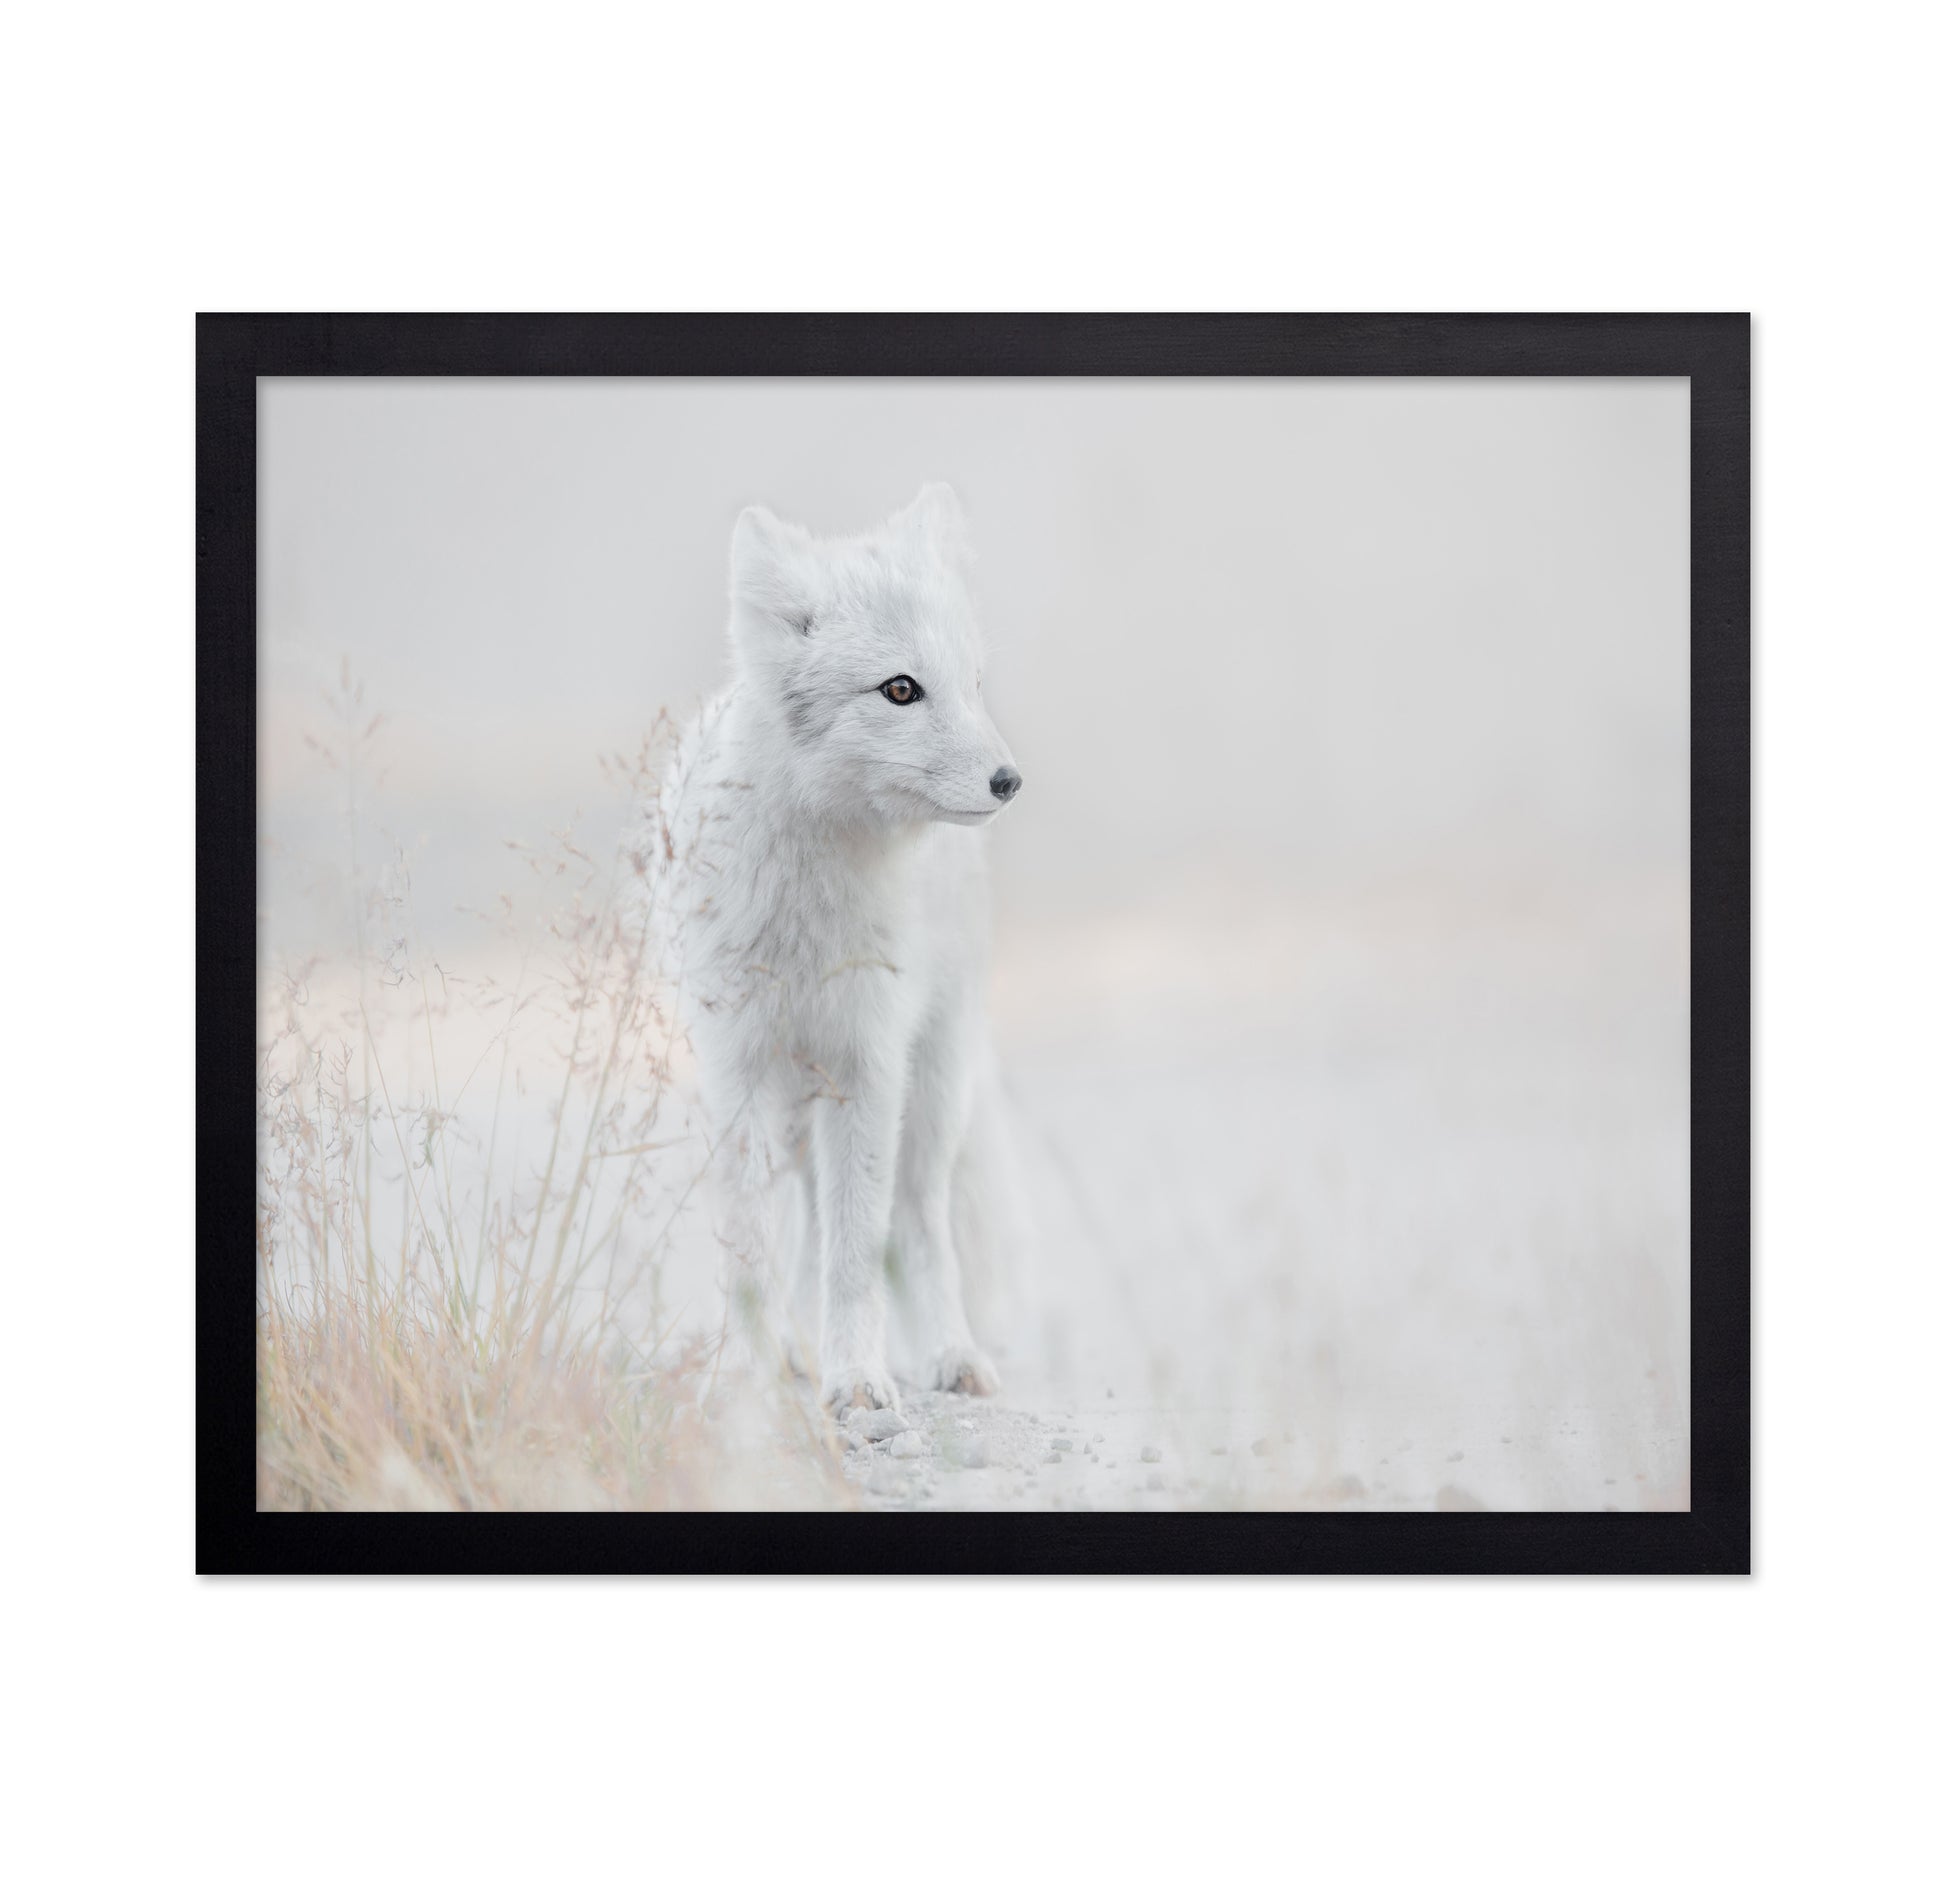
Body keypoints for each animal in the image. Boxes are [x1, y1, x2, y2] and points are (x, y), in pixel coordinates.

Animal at [647, 484, 1024, 1415]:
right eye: (901, 688)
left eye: (972, 683)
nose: (1009, 780)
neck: (806, 917)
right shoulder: (739, 1069)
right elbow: (750, 1245)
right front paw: (753, 1372)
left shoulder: (866, 1063)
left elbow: (857, 1252)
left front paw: (856, 1378)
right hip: (796, 1110)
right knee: (803, 1225)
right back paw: (794, 1350)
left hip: (927, 1096)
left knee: (915, 1220)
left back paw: (948, 1354)